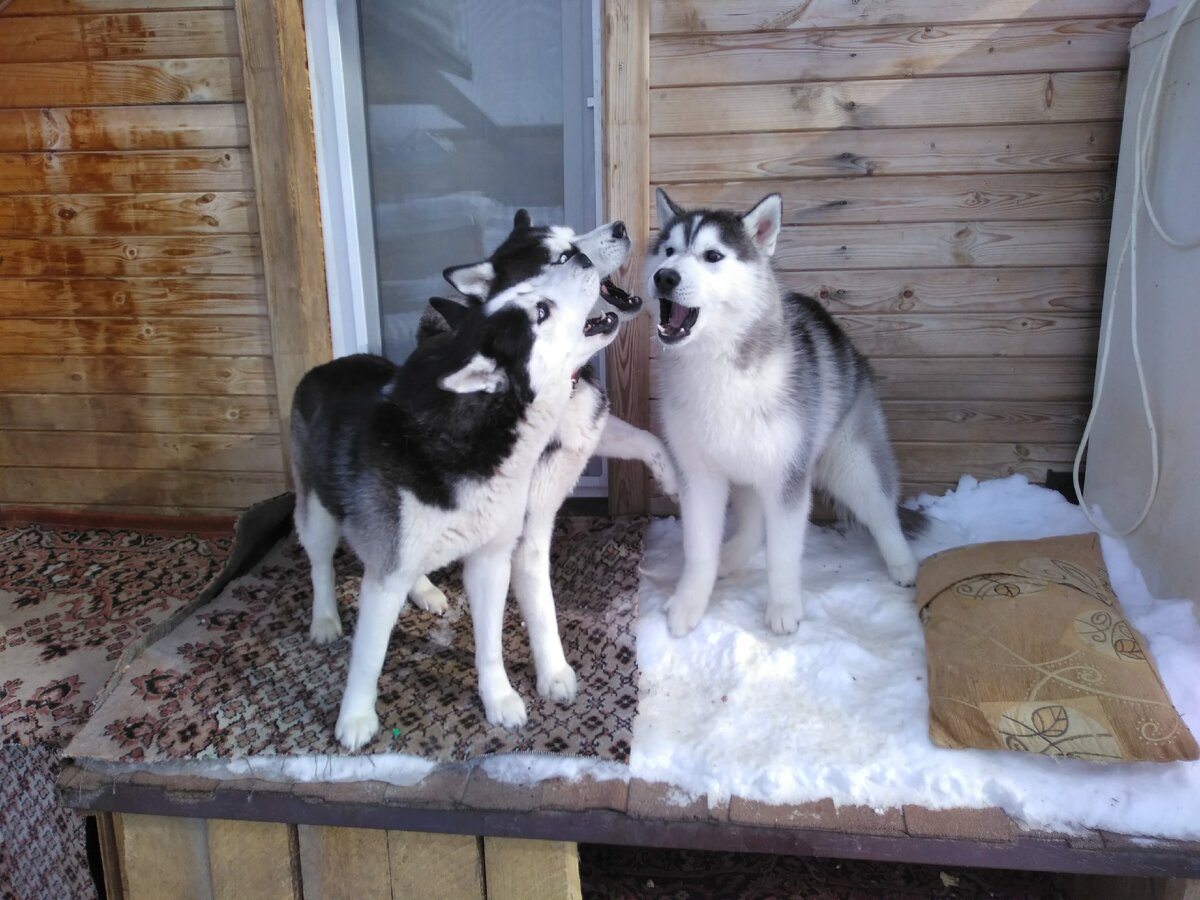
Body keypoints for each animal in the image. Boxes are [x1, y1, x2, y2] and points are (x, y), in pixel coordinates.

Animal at [291, 248, 619, 753]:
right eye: (540, 311)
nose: (582, 257)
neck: (480, 439)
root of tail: (329, 365)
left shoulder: (495, 556)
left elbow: (494, 641)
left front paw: (500, 697)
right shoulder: (384, 575)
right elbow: (369, 655)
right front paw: (356, 719)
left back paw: (424, 589)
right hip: (319, 514)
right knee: (321, 562)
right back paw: (325, 618)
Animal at [648, 190, 916, 643]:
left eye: (712, 256)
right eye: (668, 251)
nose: (664, 277)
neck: (718, 366)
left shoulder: (787, 475)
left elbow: (784, 553)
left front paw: (784, 609)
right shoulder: (699, 473)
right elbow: (699, 549)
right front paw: (689, 605)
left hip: (852, 460)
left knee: (881, 510)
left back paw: (903, 565)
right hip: (748, 467)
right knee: (754, 525)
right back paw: (730, 557)